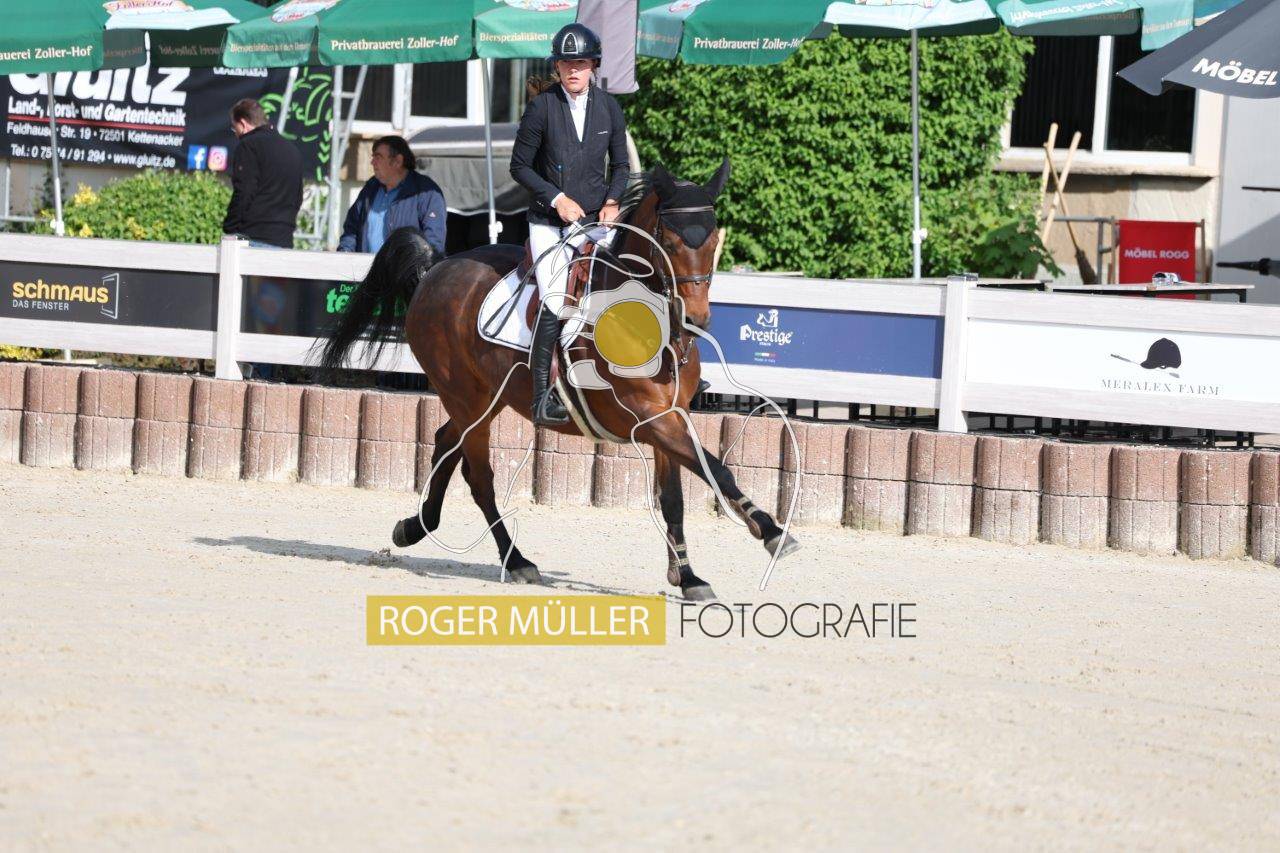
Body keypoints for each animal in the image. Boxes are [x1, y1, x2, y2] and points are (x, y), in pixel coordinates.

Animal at [318, 160, 799, 601]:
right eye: (670, 241)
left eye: (714, 241)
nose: (695, 320)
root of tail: (438, 267)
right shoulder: (650, 417)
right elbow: (716, 469)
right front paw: (772, 531)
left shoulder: (671, 416)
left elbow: (674, 498)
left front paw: (688, 576)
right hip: (466, 398)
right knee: (479, 476)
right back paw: (516, 560)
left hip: (483, 399)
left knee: (445, 443)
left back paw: (415, 526)